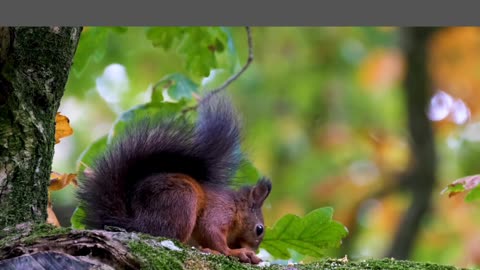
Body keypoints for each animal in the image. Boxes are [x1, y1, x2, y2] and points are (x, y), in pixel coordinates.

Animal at [79, 93, 274, 264]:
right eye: (259, 229)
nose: (254, 250)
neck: (236, 207)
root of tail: (136, 222)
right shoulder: (220, 211)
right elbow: (211, 230)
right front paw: (235, 252)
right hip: (182, 201)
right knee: (172, 236)